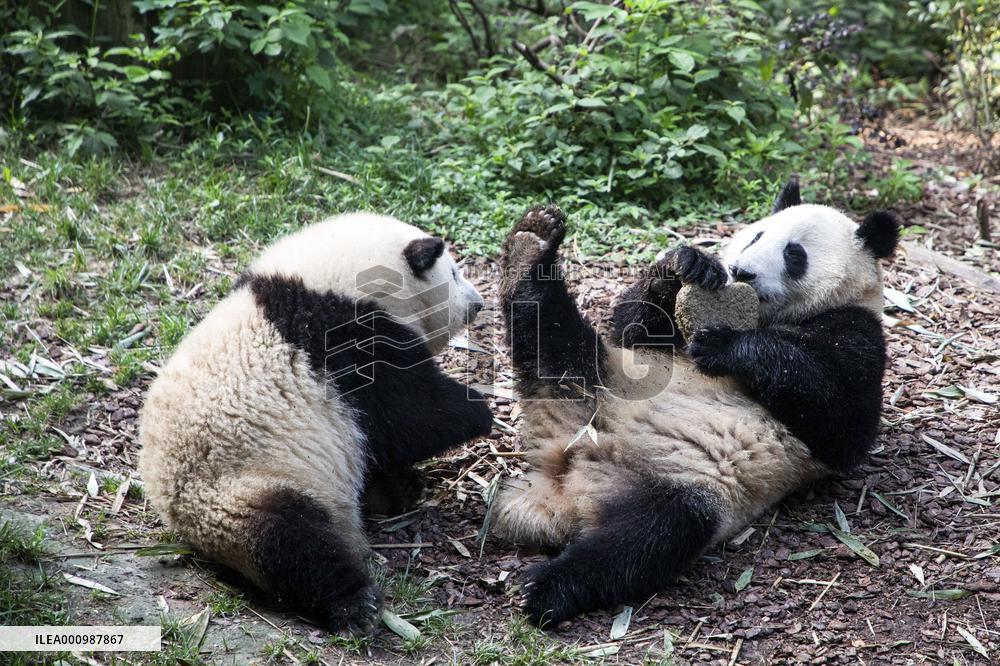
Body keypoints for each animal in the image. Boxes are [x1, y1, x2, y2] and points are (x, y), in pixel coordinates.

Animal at [138, 213, 493, 632]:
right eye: (452, 272)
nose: (477, 303)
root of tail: (180, 518)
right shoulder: (349, 343)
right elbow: (410, 414)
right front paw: (479, 409)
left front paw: (403, 482)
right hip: (245, 488)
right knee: (294, 544)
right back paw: (356, 603)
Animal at [491, 181, 899, 626]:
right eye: (757, 236)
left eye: (795, 255)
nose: (742, 271)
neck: (774, 317)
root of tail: (563, 477)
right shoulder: (649, 352)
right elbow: (631, 331)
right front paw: (686, 264)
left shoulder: (858, 334)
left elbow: (841, 423)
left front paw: (729, 347)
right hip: (594, 378)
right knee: (555, 334)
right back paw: (531, 245)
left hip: (684, 486)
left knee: (645, 540)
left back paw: (544, 588)